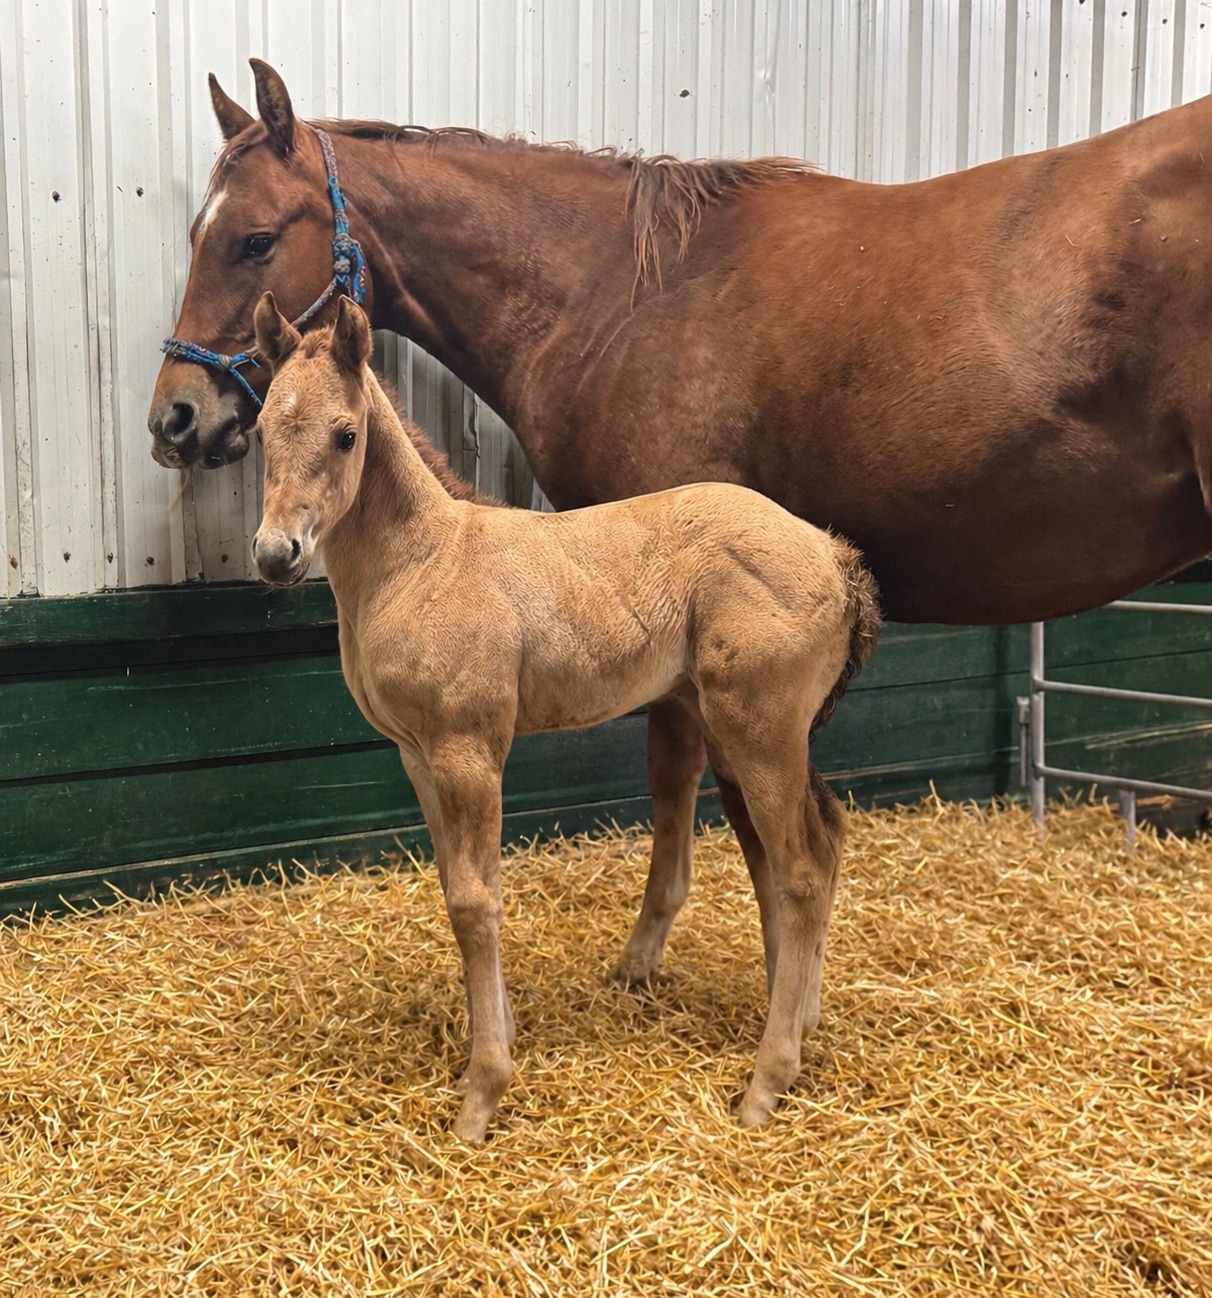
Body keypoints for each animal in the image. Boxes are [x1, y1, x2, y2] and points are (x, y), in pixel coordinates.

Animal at [249, 291, 881, 1138]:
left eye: (345, 433)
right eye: (260, 431)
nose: (274, 555)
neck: (423, 563)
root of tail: (836, 557)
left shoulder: (469, 751)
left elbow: (476, 903)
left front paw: (483, 1093)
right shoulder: (418, 755)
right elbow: (455, 884)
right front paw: (497, 1041)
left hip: (761, 731)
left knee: (804, 870)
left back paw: (766, 1083)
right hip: (753, 734)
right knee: (809, 848)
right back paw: (801, 1026)